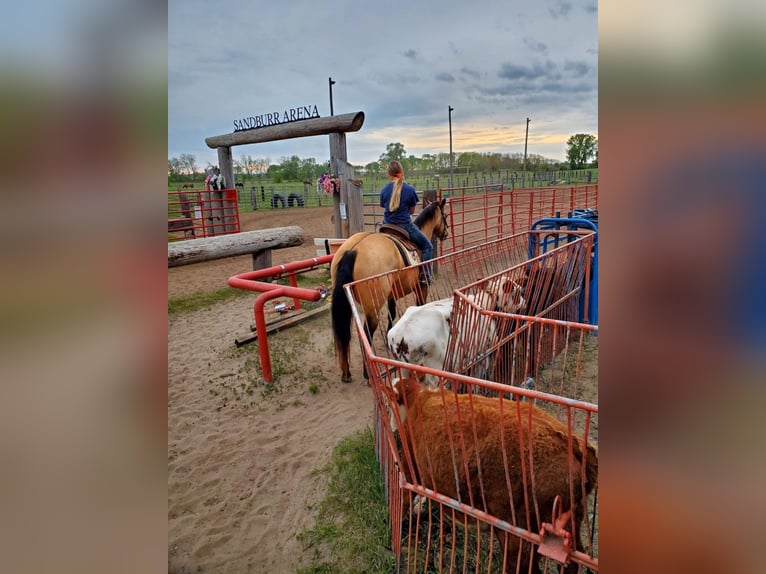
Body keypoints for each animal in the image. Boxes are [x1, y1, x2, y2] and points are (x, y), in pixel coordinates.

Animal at [330, 200, 450, 384]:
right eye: (445, 215)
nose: (446, 233)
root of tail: (353, 250)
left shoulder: (392, 294)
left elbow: (391, 313)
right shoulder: (421, 288)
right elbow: (420, 305)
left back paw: (346, 373)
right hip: (372, 307)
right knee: (366, 333)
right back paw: (367, 373)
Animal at [390, 378, 600, 574]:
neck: (419, 399)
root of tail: (574, 444)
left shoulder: (410, 465)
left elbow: (404, 499)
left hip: (518, 535)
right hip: (571, 525)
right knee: (571, 563)